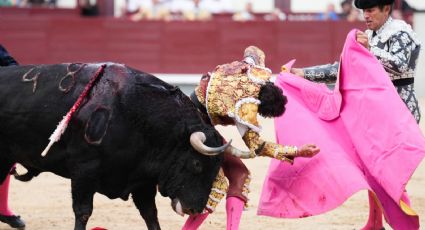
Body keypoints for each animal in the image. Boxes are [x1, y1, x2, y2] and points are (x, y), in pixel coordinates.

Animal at [0, 63, 229, 230]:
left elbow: (150, 215)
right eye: (197, 164)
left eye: (216, 169)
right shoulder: (84, 171)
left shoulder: (142, 180)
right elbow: (83, 211)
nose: (195, 209)